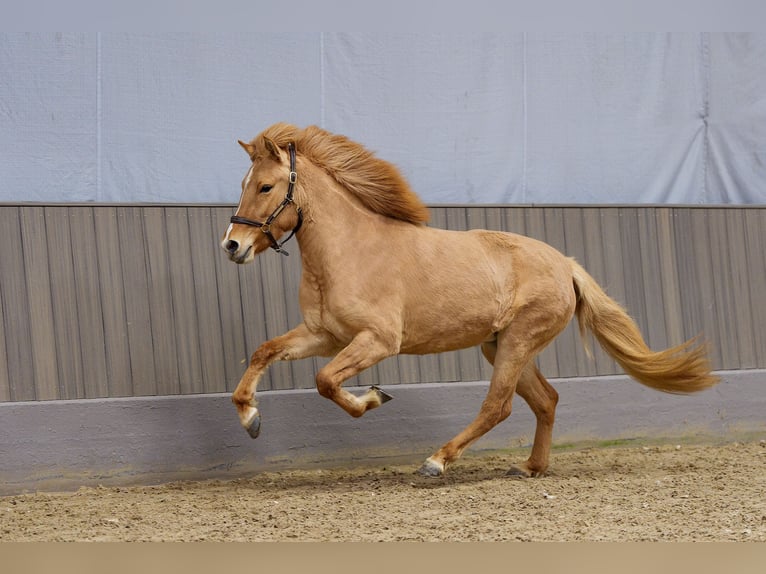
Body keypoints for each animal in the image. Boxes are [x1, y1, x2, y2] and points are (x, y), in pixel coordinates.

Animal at [221, 122, 719, 478]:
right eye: (242, 183)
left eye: (265, 186)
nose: (232, 246)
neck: (350, 251)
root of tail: (566, 264)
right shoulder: (323, 334)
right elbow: (264, 351)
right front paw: (250, 419)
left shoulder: (377, 340)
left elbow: (325, 381)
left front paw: (373, 398)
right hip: (499, 346)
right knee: (546, 400)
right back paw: (530, 468)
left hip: (517, 342)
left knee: (499, 405)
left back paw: (436, 461)